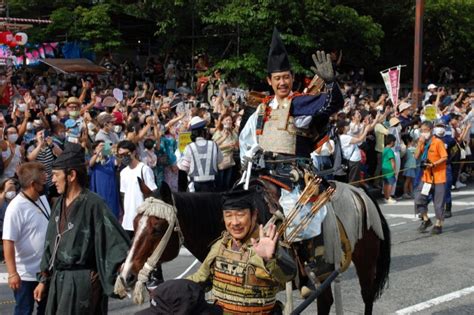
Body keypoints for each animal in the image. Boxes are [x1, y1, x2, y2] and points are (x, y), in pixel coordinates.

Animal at [116, 179, 390, 314]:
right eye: (134, 223)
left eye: (157, 228)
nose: (127, 275)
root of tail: (360, 192)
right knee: (325, 300)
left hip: (365, 262)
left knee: (366, 297)